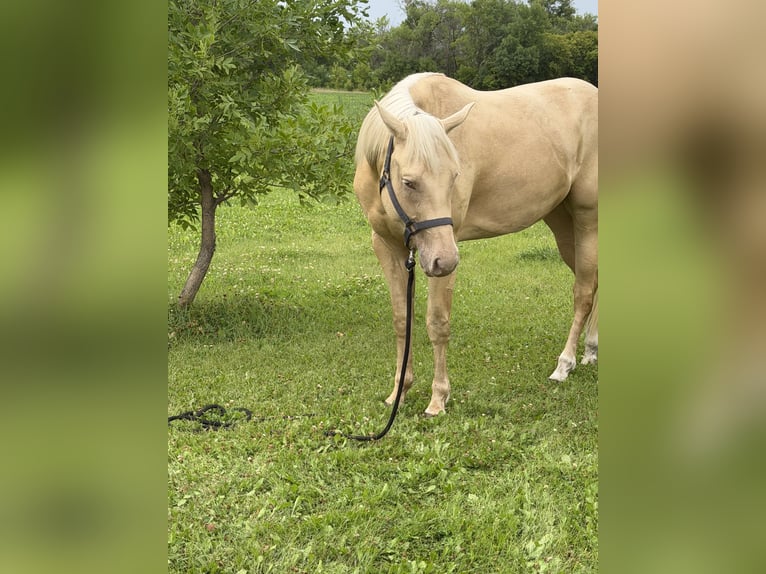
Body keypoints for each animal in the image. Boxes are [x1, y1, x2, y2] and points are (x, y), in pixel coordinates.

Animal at [353, 72, 598, 416]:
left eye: (454, 177)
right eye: (408, 182)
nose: (445, 260)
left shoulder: (444, 254)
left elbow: (437, 323)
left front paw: (438, 399)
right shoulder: (388, 247)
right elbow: (402, 320)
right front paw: (398, 392)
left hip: (588, 219)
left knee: (584, 292)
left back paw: (565, 364)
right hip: (563, 223)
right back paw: (590, 350)